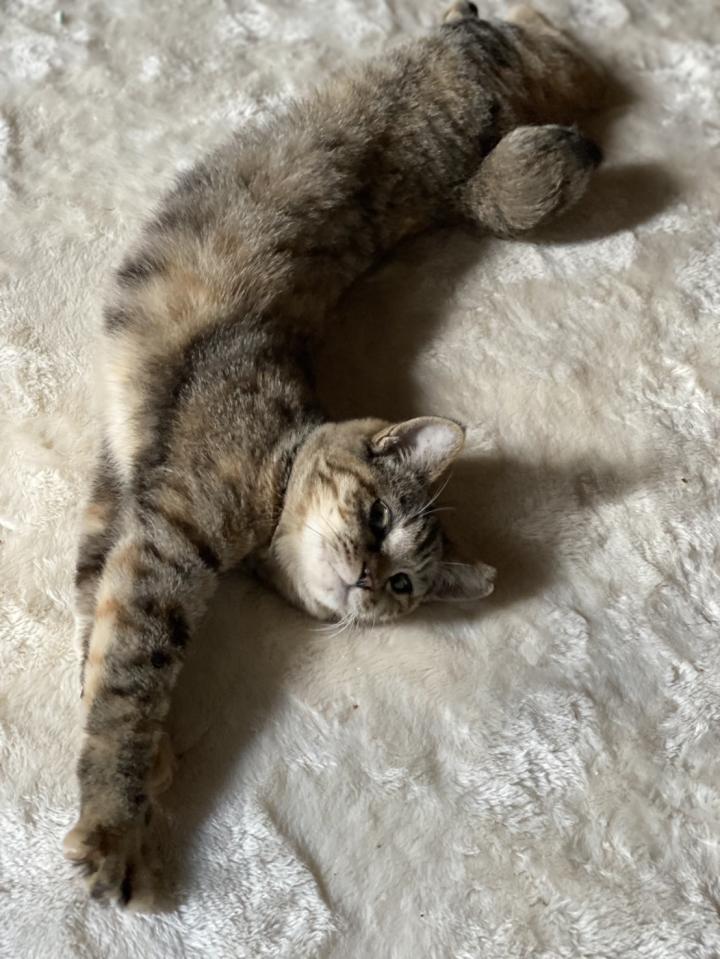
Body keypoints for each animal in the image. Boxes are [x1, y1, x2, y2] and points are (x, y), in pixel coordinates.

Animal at [63, 1, 605, 907]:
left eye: (405, 587)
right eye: (379, 514)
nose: (366, 581)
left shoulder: (132, 512)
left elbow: (108, 642)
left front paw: (140, 779)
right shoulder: (159, 531)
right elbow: (128, 673)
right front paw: (118, 815)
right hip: (485, 75)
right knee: (530, 38)